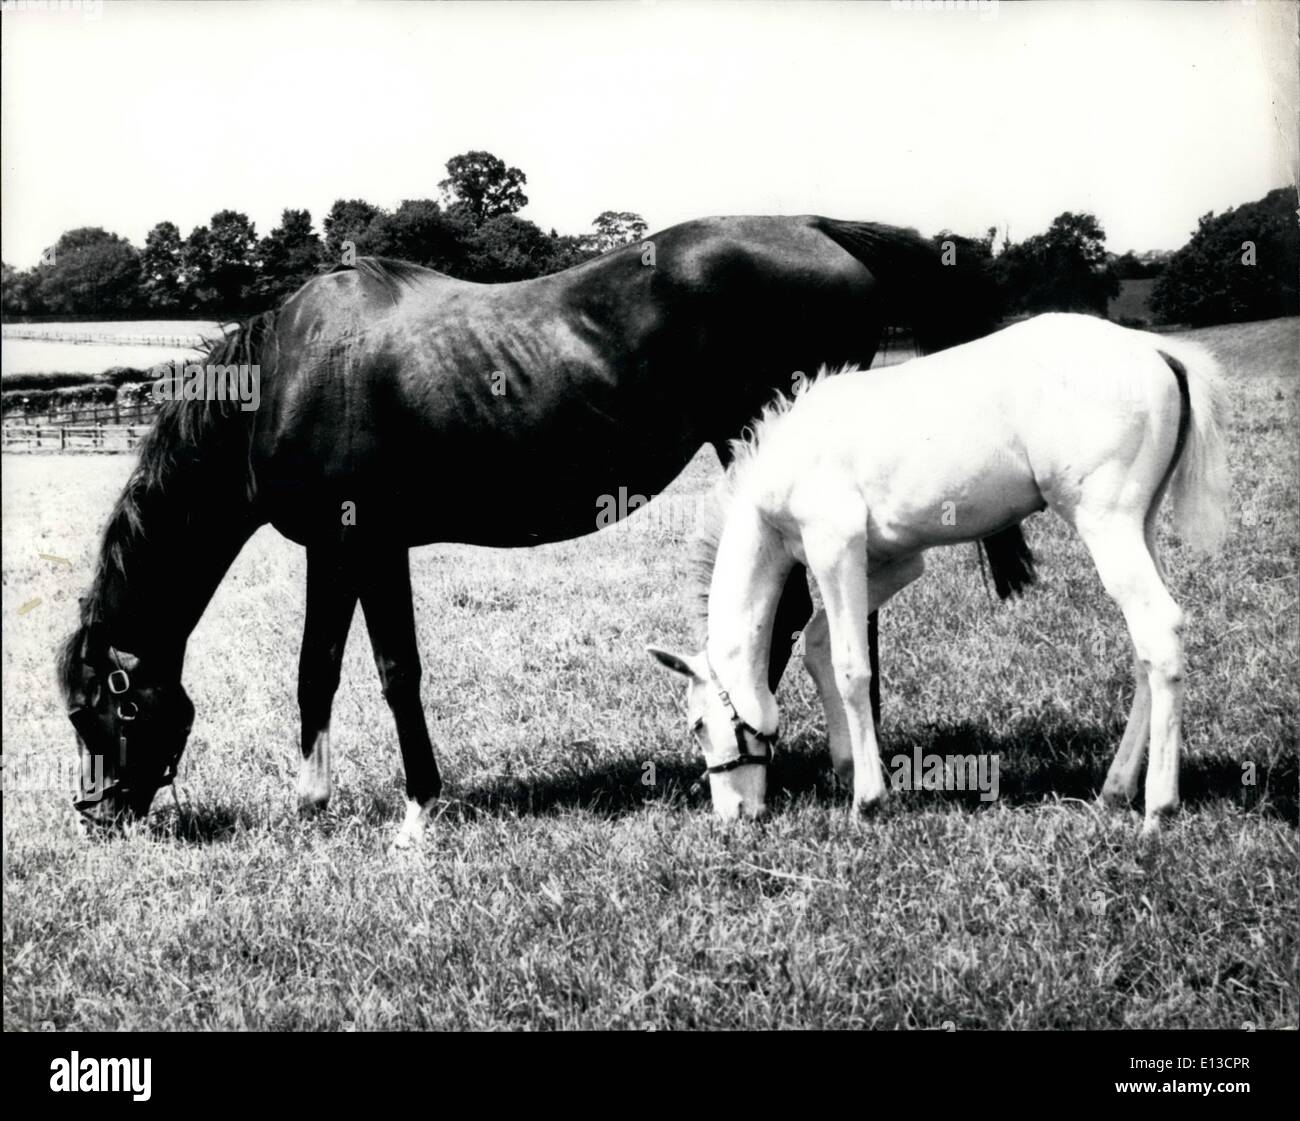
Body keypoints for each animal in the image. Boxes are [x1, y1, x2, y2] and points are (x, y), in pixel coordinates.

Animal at [61, 214, 1029, 853]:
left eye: (104, 708)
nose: (97, 814)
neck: (289, 372)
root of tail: (817, 228)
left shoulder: (371, 547)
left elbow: (396, 673)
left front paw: (418, 810)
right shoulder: (331, 552)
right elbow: (316, 673)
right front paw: (313, 800)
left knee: (793, 616)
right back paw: (837, 758)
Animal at [650, 313, 1227, 832]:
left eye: (698, 724)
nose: (732, 815)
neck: (787, 463)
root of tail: (1156, 350)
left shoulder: (836, 547)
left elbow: (850, 667)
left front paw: (868, 801)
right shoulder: (893, 563)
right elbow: (816, 645)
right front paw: (849, 767)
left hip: (1106, 524)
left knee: (1159, 631)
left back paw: (1158, 806)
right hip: (1138, 527)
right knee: (1144, 651)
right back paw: (1116, 787)